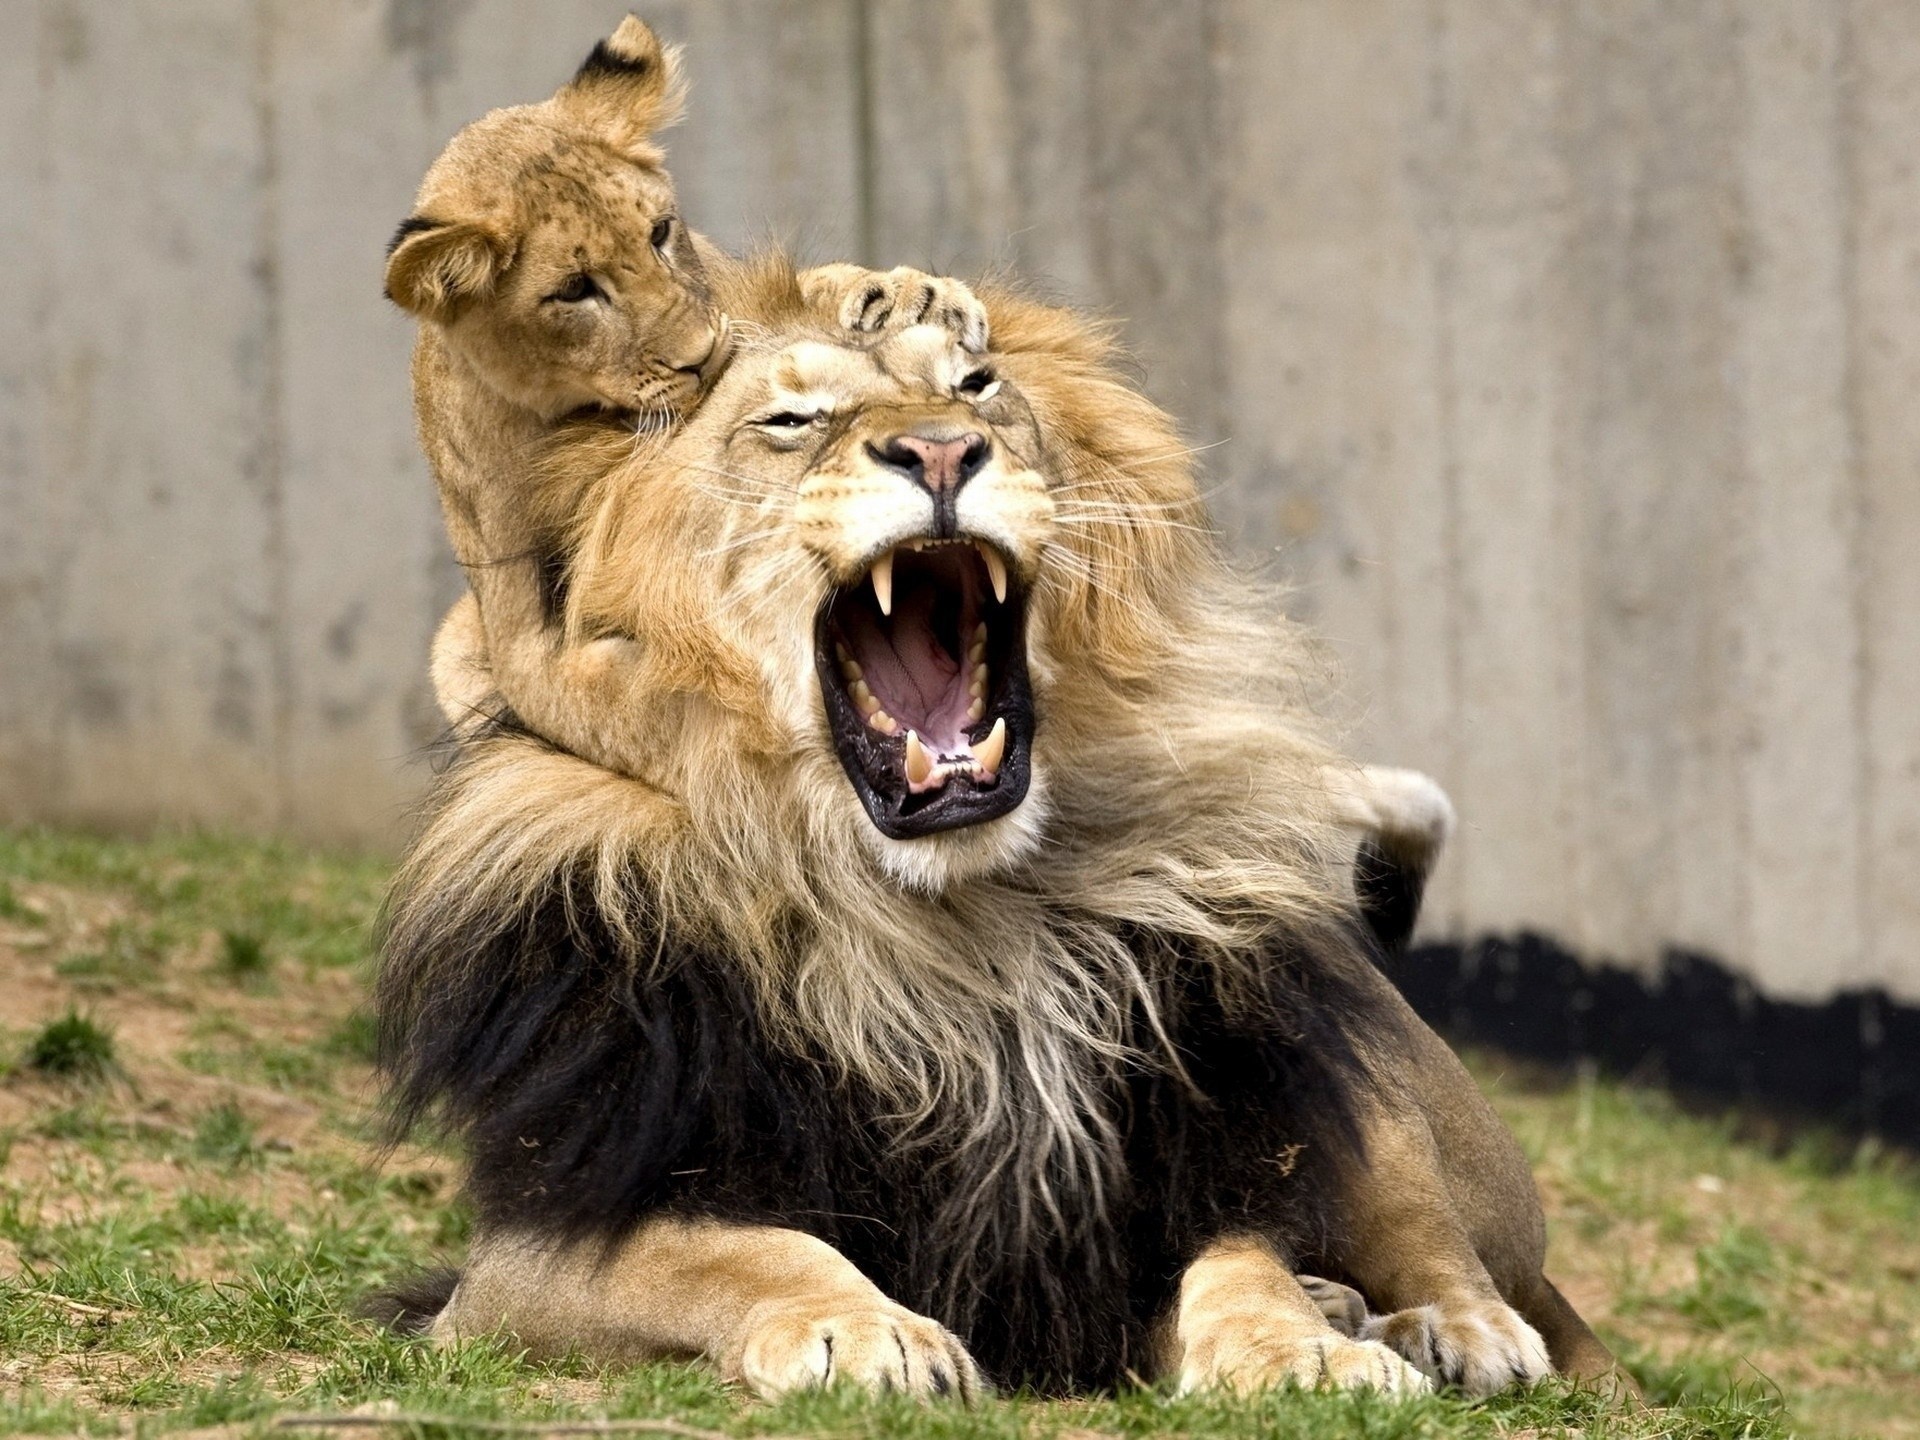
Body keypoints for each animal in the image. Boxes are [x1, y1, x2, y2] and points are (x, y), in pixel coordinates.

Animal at [372, 280, 1621, 1399]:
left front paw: (1303, 1346)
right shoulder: (525, 1261)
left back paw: (1450, 1329)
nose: (939, 453)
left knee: (1459, 1256)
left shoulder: (1149, 1203)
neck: (952, 933)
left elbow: (1243, 1264)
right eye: (791, 421)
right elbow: (739, 1252)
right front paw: (864, 1330)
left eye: (975, 389)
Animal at [385, 14, 988, 779]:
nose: (704, 355)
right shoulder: (517, 625)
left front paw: (910, 295)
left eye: (660, 232)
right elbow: (608, 702)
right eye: (575, 290)